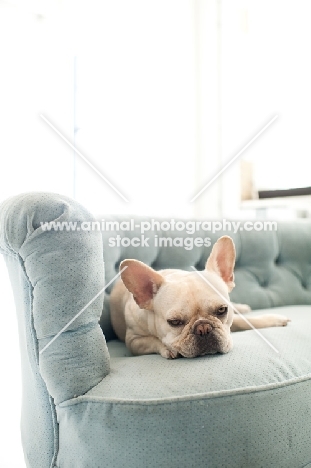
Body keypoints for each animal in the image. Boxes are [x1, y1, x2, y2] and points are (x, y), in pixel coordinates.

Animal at [111, 238, 292, 358]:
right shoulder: (133, 341)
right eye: (174, 322)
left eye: (222, 310)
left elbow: (245, 321)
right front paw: (167, 348)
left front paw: (272, 319)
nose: (203, 328)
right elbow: (152, 341)